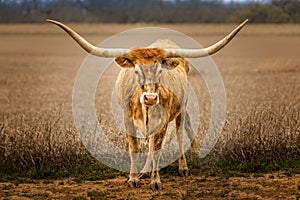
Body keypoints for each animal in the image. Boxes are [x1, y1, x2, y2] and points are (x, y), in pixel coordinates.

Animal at [47, 19, 248, 191]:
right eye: (136, 71)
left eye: (160, 70)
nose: (150, 98)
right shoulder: (127, 118)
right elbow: (135, 147)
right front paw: (134, 178)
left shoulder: (163, 121)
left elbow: (157, 149)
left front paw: (155, 181)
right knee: (151, 144)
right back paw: (145, 171)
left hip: (181, 111)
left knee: (179, 136)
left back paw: (182, 168)